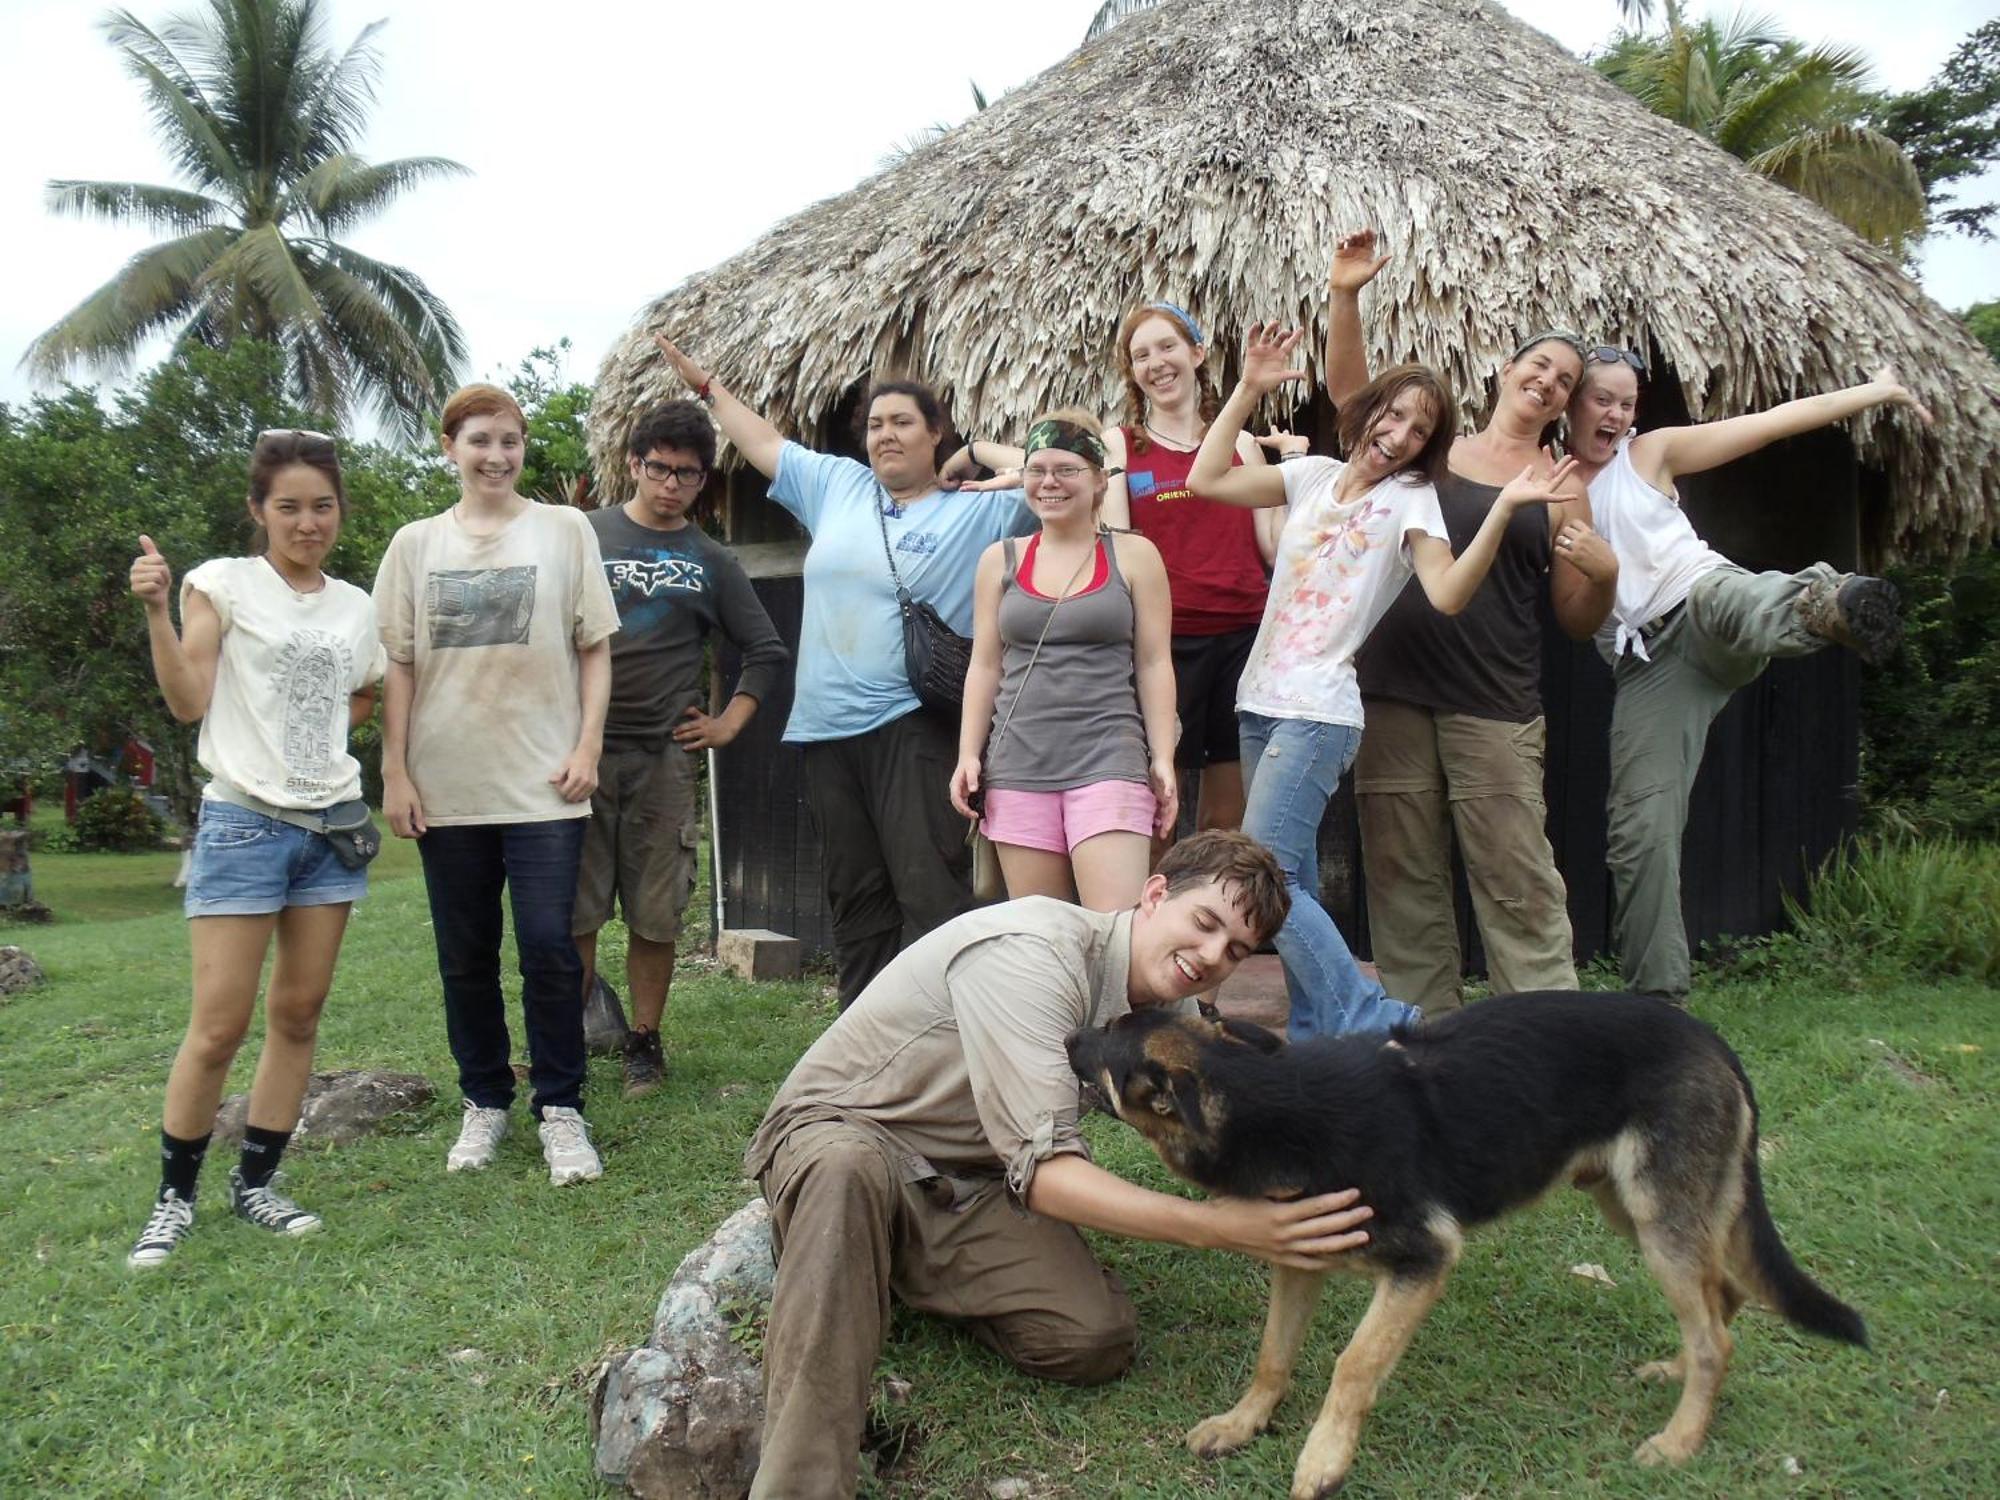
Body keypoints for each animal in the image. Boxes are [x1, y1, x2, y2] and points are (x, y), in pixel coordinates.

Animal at [1072, 992, 1864, 1496]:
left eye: (1106, 1036)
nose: (1068, 1036)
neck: (1267, 1098)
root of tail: (1706, 1034)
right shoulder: (1300, 1257)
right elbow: (1274, 1356)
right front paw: (1243, 1424)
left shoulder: (1423, 1263)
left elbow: (1354, 1365)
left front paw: (1324, 1459)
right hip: (1631, 1208)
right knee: (1720, 1296)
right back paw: (1678, 1379)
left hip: (1656, 1215)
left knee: (1715, 1337)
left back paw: (1680, 1439)